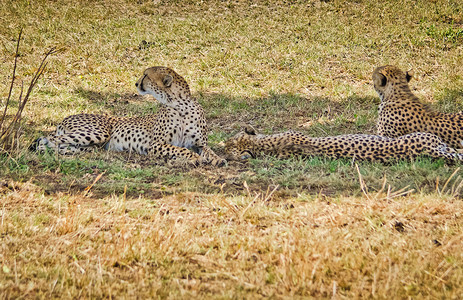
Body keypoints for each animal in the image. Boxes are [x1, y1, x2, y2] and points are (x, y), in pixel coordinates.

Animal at [32, 65, 227, 166]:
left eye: (146, 75)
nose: (136, 83)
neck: (180, 105)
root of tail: (66, 118)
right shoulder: (155, 145)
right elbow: (181, 149)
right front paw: (194, 158)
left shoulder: (199, 143)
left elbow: (209, 150)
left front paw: (218, 159)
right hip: (98, 133)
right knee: (46, 140)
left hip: (92, 142)